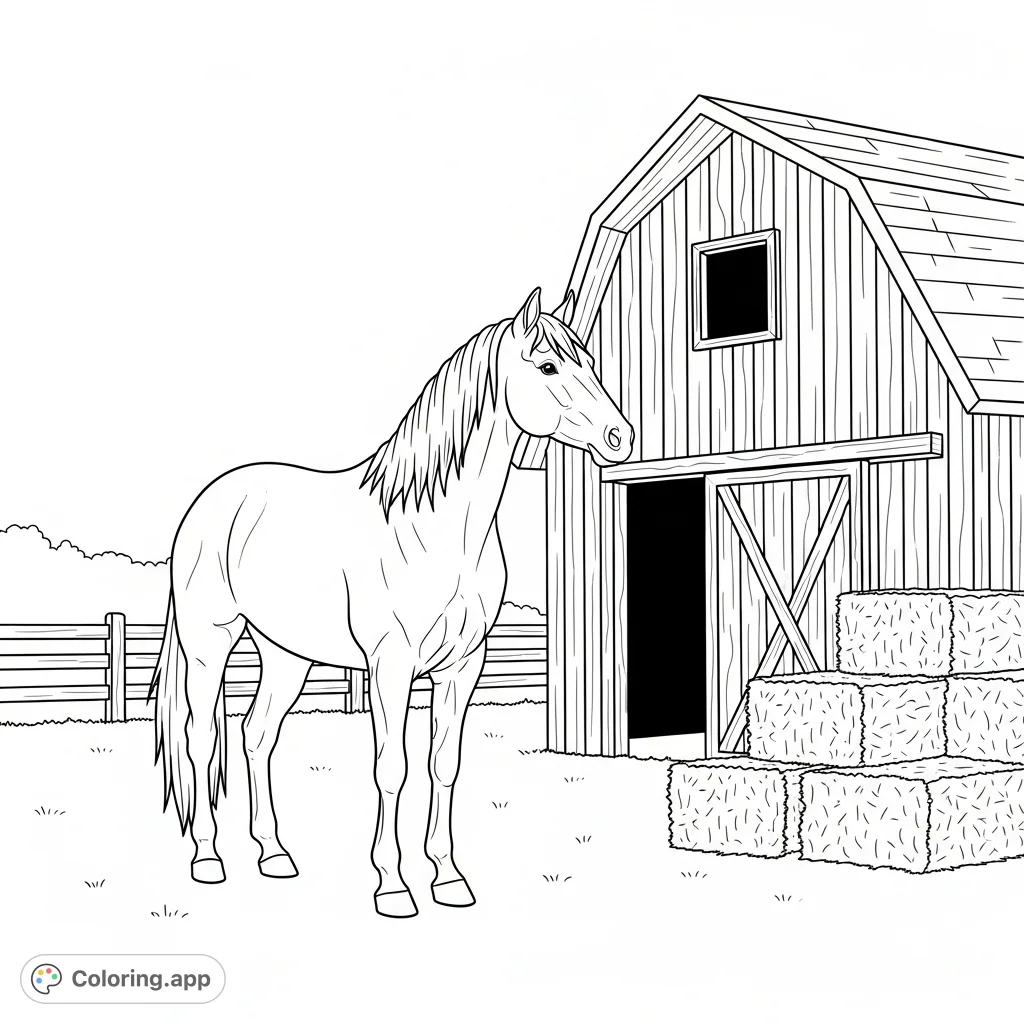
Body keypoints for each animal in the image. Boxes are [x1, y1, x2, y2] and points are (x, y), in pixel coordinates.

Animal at [149, 286, 633, 917]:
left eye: (592, 364)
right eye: (549, 367)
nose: (620, 437)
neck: (440, 529)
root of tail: (211, 500)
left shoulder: (463, 666)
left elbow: (443, 765)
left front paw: (448, 879)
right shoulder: (390, 666)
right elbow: (392, 769)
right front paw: (394, 886)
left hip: (286, 655)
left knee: (256, 735)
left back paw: (274, 855)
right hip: (210, 643)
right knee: (203, 739)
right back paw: (208, 860)